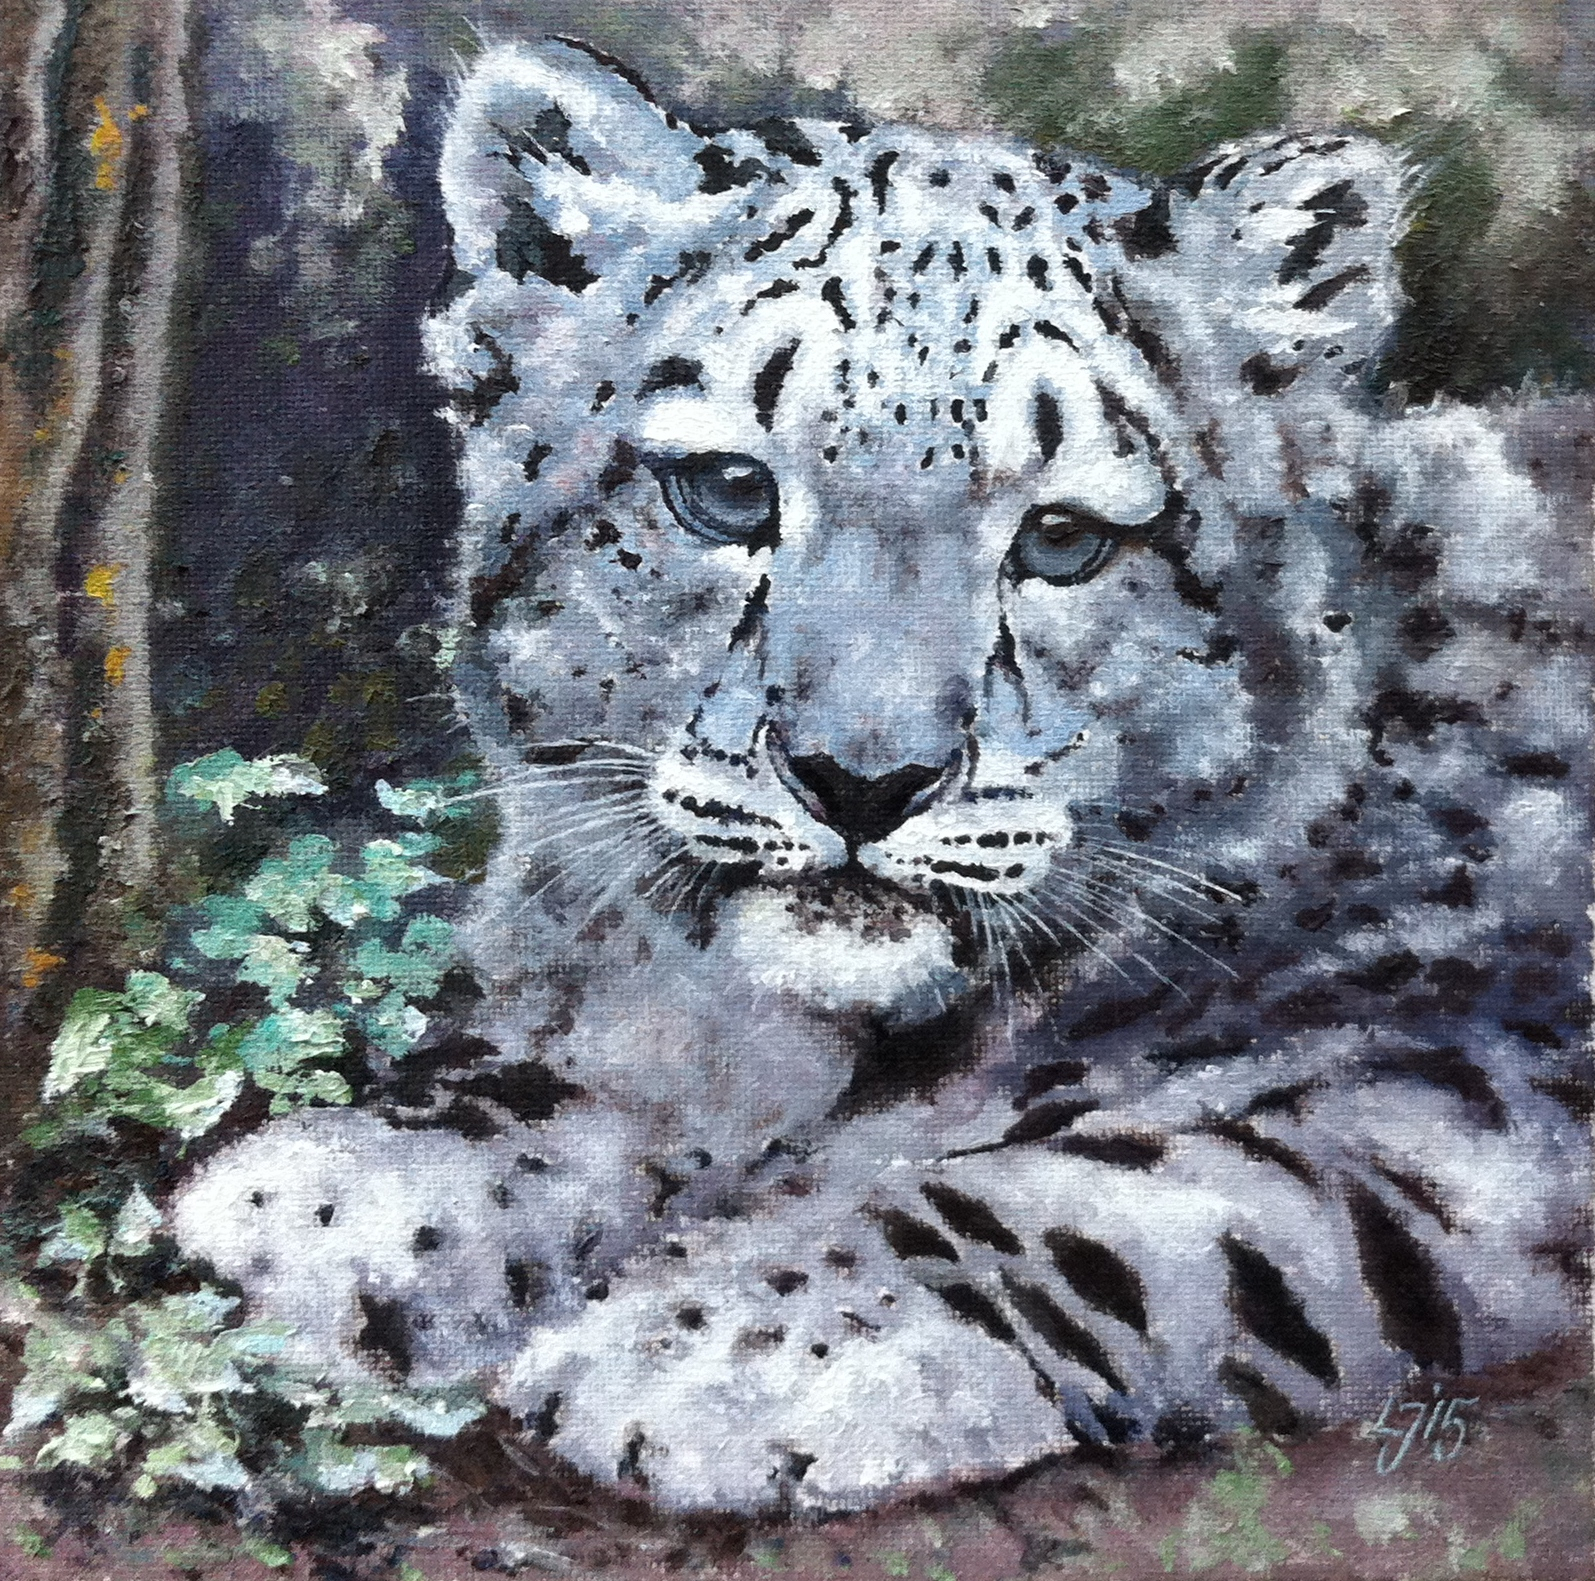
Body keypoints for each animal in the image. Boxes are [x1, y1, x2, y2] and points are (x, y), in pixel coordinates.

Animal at [174, 38, 1593, 1515]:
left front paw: (720, 1348)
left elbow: (1121, 1185)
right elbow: (596, 1076)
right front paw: (336, 1189)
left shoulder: (1472, 1071)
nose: (861, 778)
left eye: (1065, 538)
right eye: (727, 489)